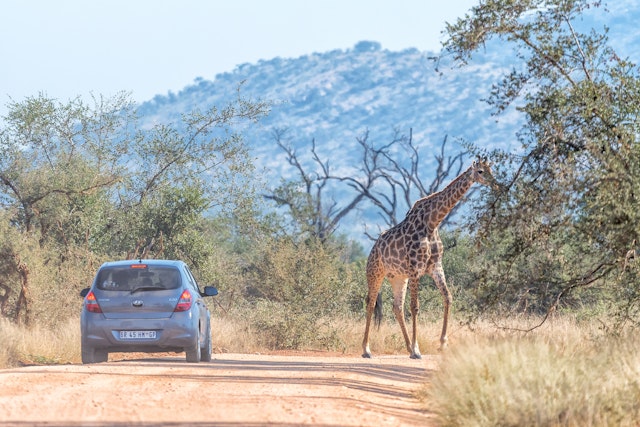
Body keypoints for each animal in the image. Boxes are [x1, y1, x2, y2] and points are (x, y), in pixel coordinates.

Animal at [362, 159, 496, 359]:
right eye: (480, 171)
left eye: (491, 170)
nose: (495, 183)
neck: (432, 222)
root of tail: (372, 249)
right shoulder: (416, 269)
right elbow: (415, 307)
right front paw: (417, 350)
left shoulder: (435, 267)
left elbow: (448, 297)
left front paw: (442, 344)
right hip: (375, 273)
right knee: (371, 304)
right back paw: (366, 349)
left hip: (398, 277)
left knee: (397, 307)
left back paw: (407, 346)